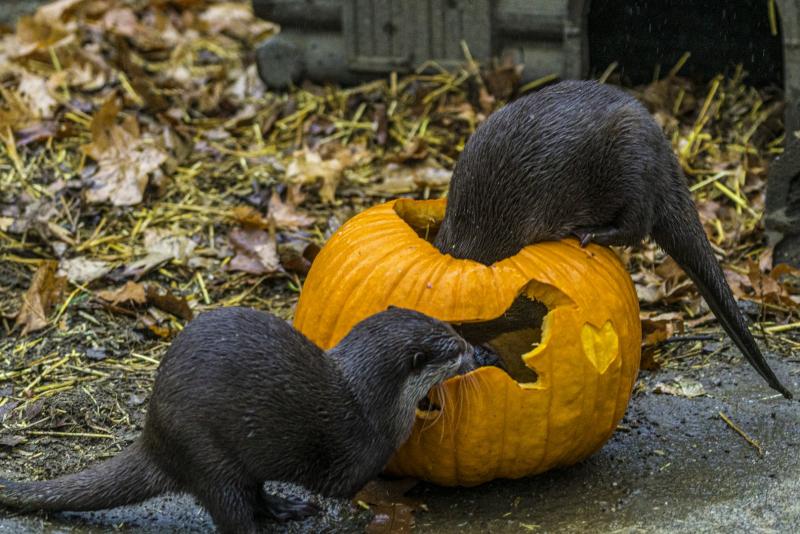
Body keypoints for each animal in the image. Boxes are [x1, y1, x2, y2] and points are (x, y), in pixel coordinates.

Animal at [0, 306, 475, 534]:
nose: (473, 348)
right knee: (231, 513)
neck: (366, 398)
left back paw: (287, 507)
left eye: (452, 329)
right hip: (206, 455)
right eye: (453, 347)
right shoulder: (358, 452)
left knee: (256, 491)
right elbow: (356, 485)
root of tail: (154, 437)